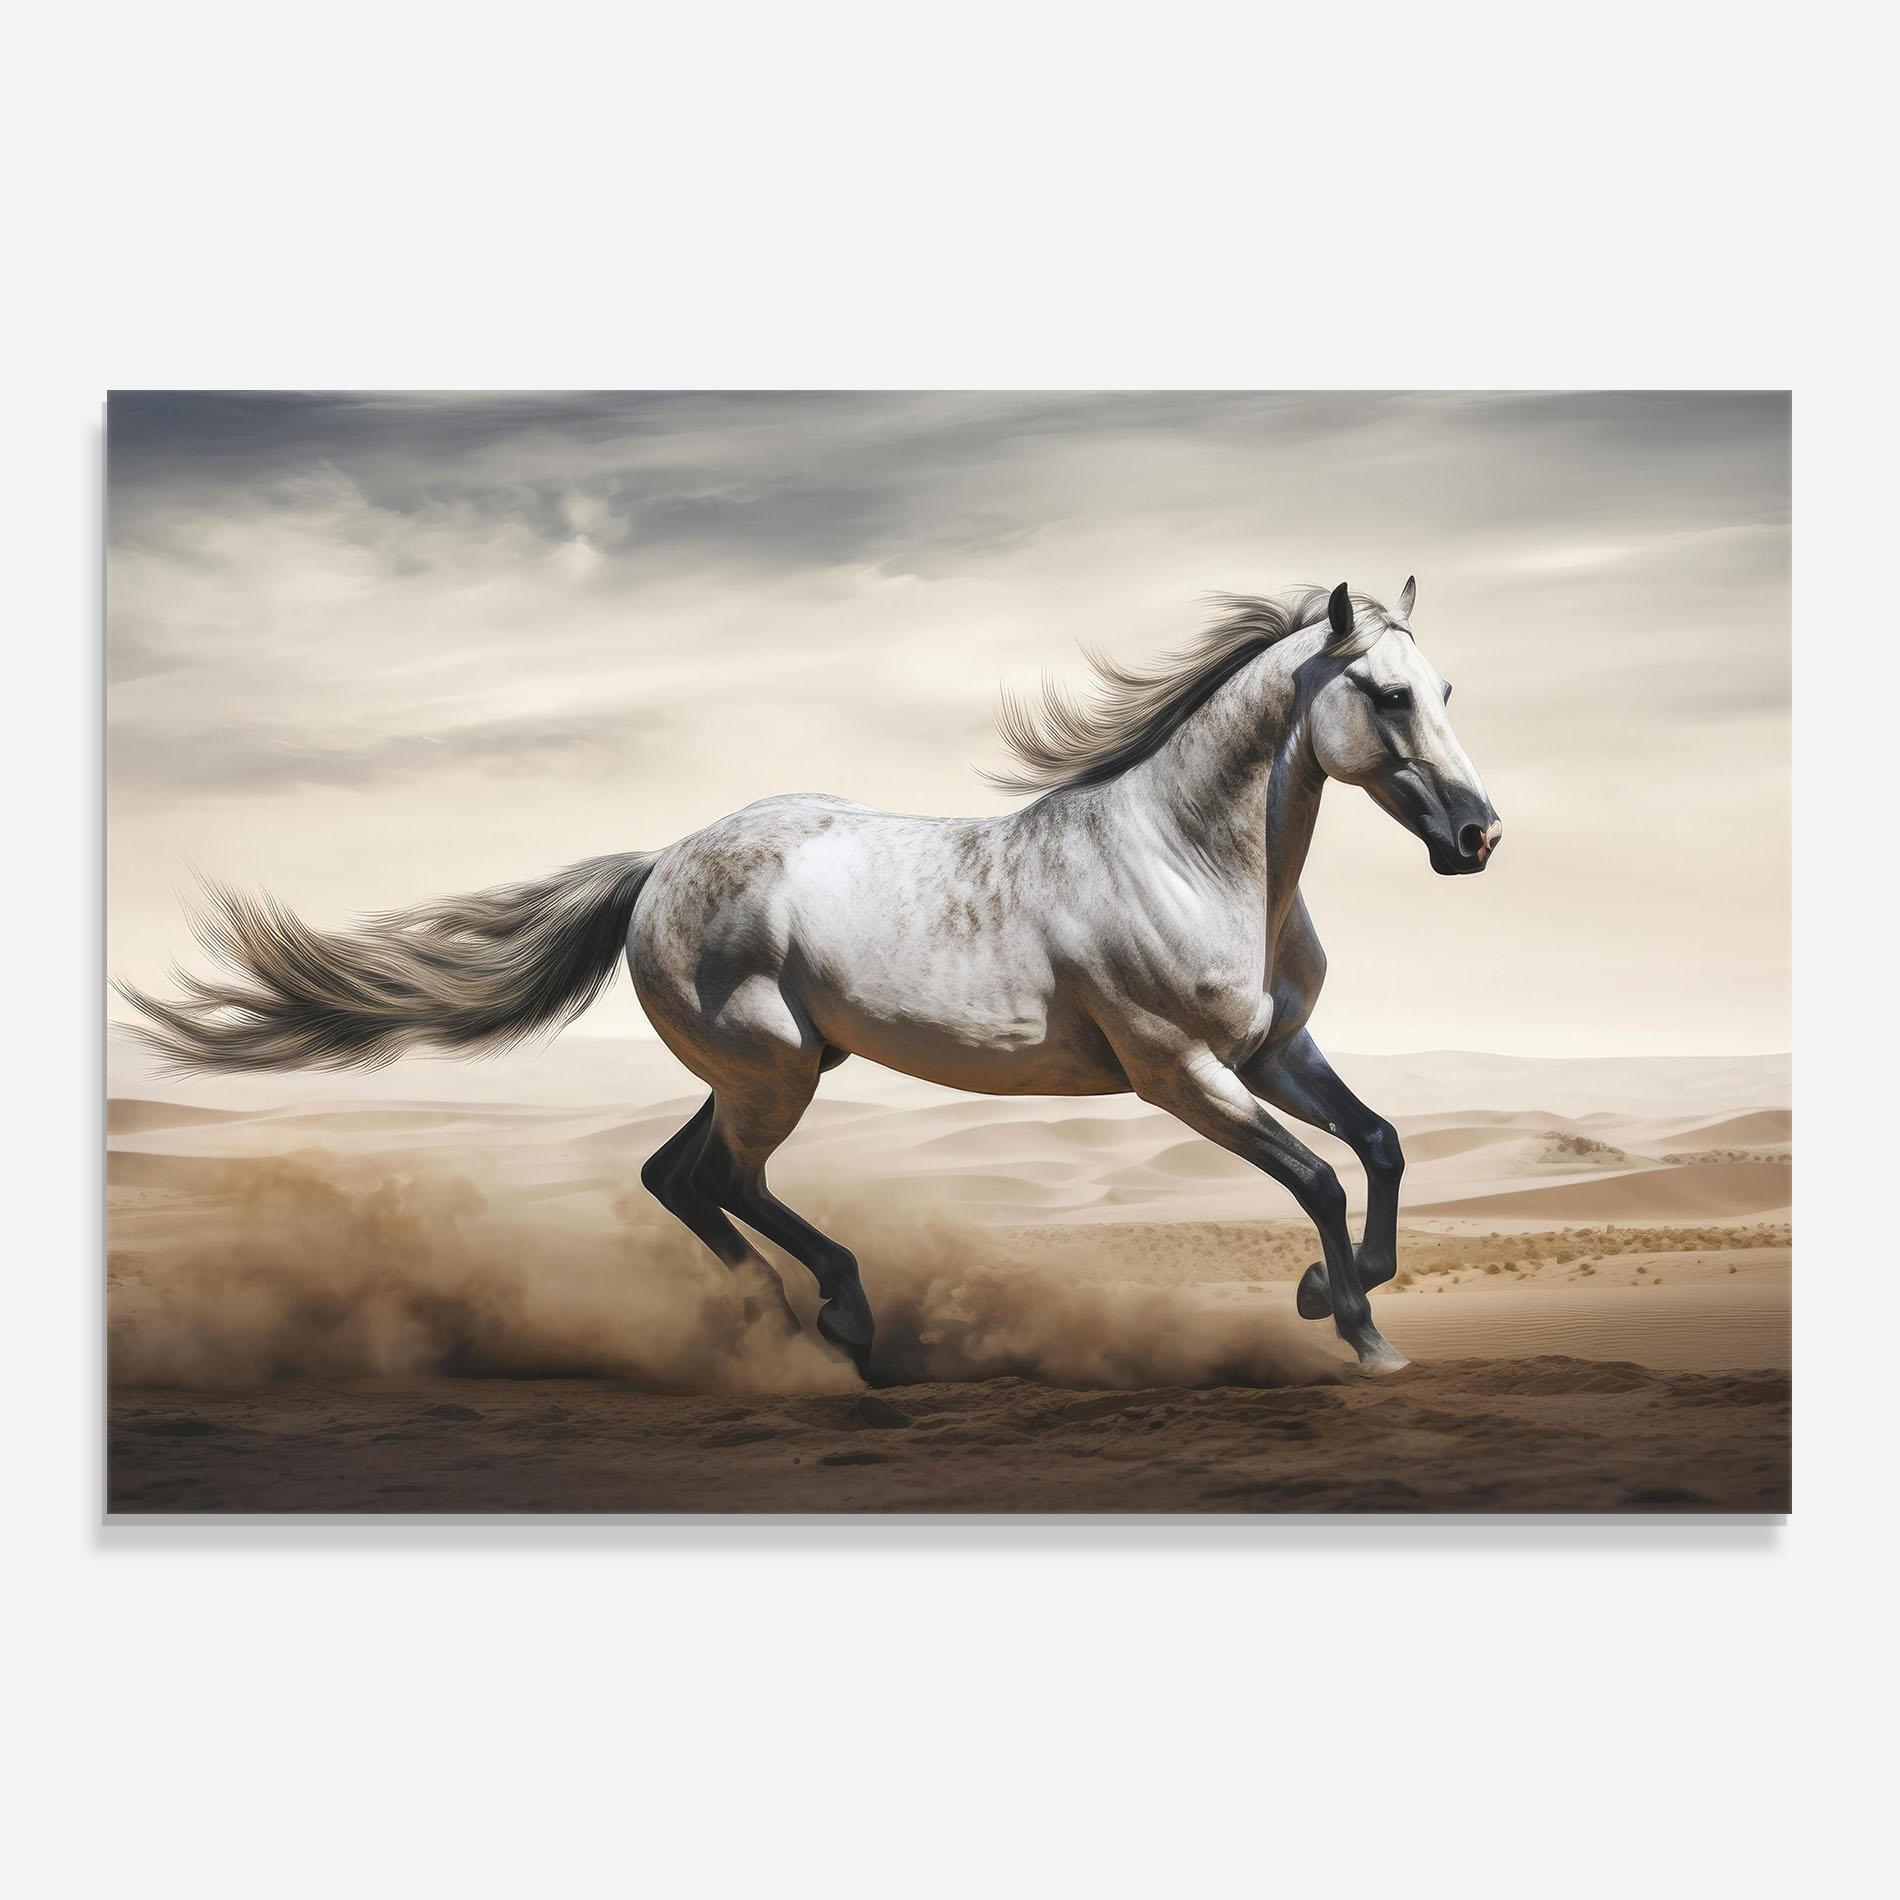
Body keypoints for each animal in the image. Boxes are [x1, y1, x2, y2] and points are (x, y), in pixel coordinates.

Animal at [119, 579, 1501, 1377]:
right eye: (1385, 696)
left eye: (1445, 686)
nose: (1478, 836)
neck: (1187, 856)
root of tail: (660, 864)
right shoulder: (1180, 1074)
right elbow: (1317, 1174)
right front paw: (1358, 1329)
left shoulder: (1273, 1050)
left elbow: (1379, 1145)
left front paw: (1335, 1290)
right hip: (772, 1072)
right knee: (724, 1180)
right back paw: (837, 1318)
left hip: (766, 1067)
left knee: (674, 1176)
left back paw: (785, 1326)